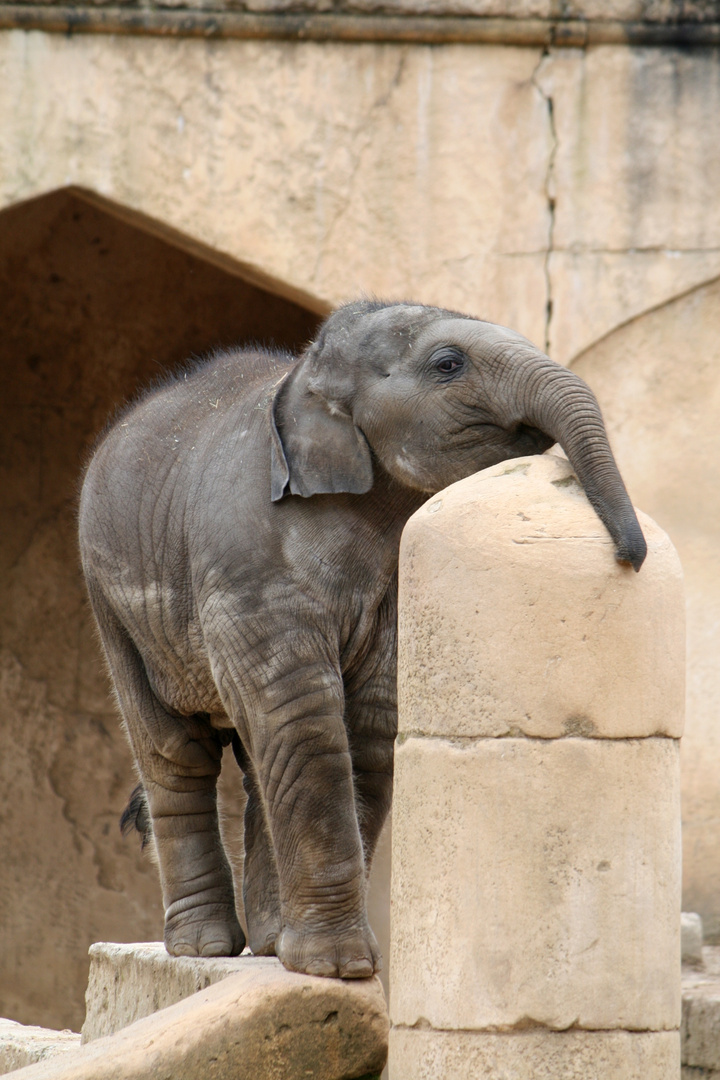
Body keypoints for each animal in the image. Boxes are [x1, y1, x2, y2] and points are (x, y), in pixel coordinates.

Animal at [80, 295, 647, 980]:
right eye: (448, 364)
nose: (630, 556)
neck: (306, 371)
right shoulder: (246, 560)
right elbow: (304, 717)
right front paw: (338, 969)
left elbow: (371, 723)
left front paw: (313, 962)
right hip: (110, 605)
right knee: (174, 752)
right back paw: (204, 949)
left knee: (254, 751)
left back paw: (267, 944)